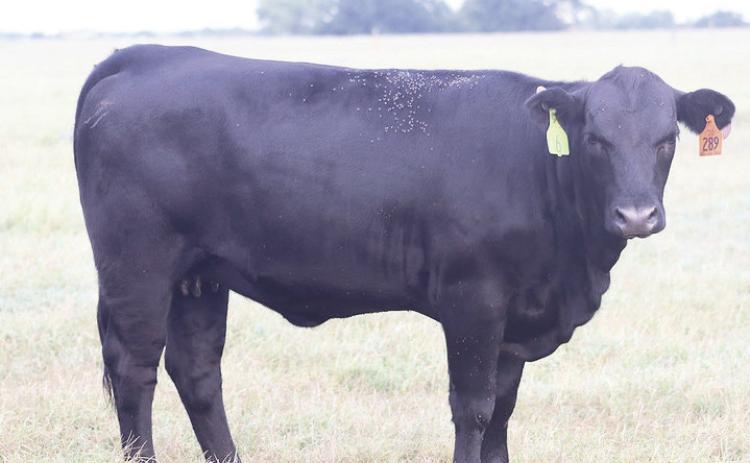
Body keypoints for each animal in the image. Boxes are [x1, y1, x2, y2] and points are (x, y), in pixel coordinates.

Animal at [73, 44, 735, 463]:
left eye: (666, 140)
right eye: (595, 139)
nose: (636, 215)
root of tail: (146, 55)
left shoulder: (516, 321)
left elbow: (503, 413)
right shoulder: (474, 302)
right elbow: (474, 409)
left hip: (199, 276)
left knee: (198, 372)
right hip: (138, 265)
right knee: (135, 369)